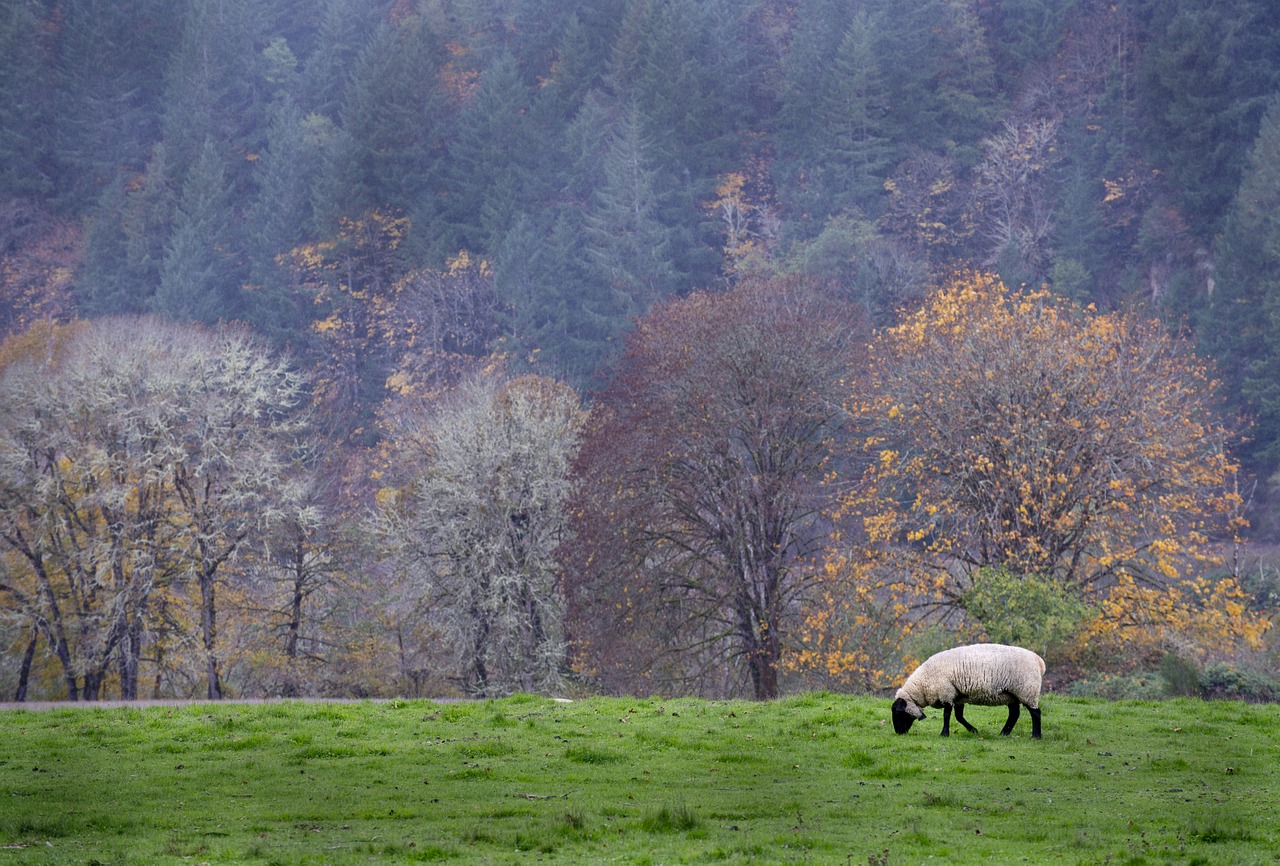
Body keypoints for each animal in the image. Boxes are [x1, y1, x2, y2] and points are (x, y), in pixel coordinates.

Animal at [896, 642, 1044, 736]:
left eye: (898, 712)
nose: (898, 732)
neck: (924, 682)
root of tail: (1038, 660)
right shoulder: (957, 696)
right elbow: (959, 717)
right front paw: (973, 730)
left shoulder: (946, 692)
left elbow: (947, 715)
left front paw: (944, 733)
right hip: (1011, 694)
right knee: (1014, 714)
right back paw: (1004, 733)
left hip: (1027, 690)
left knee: (1035, 713)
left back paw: (1036, 736)